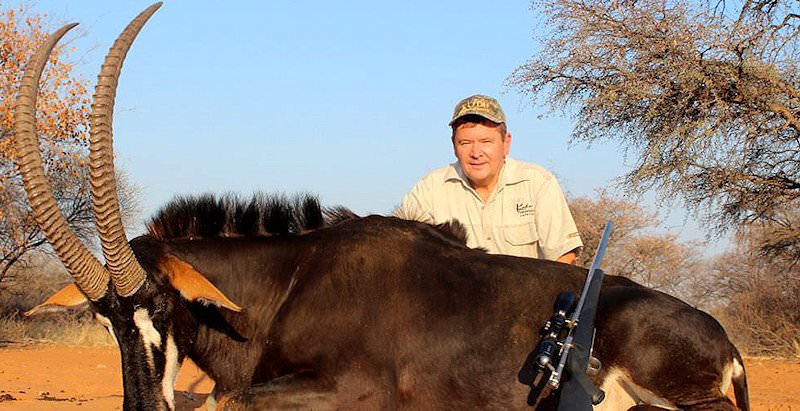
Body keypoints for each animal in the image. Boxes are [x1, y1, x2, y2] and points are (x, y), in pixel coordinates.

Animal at [17, 3, 752, 411]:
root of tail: (726, 340)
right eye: (106, 320)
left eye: (164, 307)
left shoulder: (352, 393)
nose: (145, 409)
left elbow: (230, 402)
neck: (292, 279)